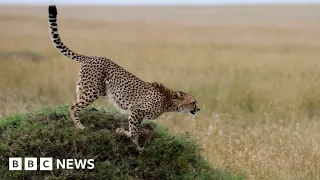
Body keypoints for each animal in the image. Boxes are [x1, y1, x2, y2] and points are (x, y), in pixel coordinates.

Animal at [47, 5, 200, 149]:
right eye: (193, 102)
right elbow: (133, 131)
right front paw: (123, 133)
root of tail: (91, 57)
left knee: (77, 98)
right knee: (74, 107)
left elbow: (136, 131)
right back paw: (79, 126)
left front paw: (137, 145)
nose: (198, 109)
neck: (168, 101)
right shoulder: (136, 110)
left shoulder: (138, 114)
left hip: (90, 87)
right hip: (94, 91)